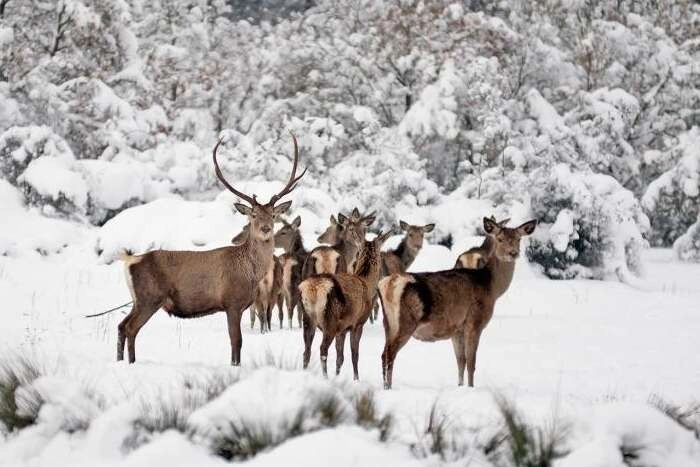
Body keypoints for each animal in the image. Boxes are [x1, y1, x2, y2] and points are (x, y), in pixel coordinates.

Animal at [116, 134, 304, 366]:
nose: (266, 228)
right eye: (253, 215)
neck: (251, 273)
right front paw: (235, 365)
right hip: (149, 297)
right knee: (131, 328)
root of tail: (129, 261)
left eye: (273, 215)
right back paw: (131, 363)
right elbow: (236, 341)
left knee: (121, 326)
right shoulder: (232, 302)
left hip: (137, 300)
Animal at [298, 230, 392, 380]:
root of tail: (313, 288)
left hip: (308, 316)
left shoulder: (342, 329)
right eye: (381, 254)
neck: (367, 283)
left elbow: (340, 357)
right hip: (330, 319)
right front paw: (356, 378)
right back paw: (325, 377)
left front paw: (338, 376)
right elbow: (354, 355)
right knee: (322, 349)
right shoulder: (357, 323)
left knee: (306, 350)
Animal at [378, 218, 536, 390]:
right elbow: (471, 363)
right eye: (499, 239)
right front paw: (471, 388)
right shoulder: (474, 322)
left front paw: (460, 386)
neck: (491, 288)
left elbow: (461, 361)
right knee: (390, 354)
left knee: (384, 353)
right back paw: (388, 388)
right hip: (406, 321)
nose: (513, 253)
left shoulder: (456, 329)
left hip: (388, 323)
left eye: (518, 239)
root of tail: (389, 284)